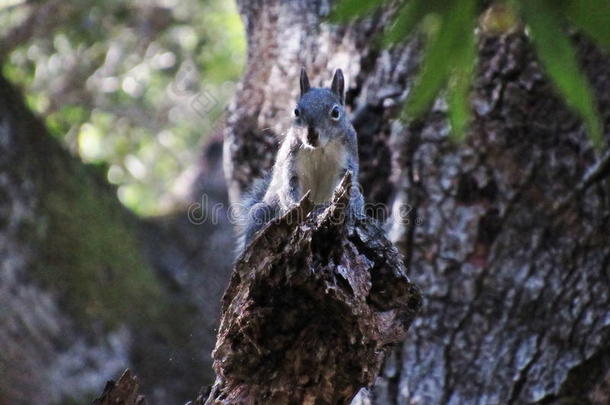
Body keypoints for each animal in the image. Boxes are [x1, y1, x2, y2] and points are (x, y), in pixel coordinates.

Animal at [236, 67, 360, 254]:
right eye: (296, 111)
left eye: (336, 112)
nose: (311, 134)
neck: (319, 149)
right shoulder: (291, 161)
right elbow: (289, 185)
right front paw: (295, 208)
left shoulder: (347, 161)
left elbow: (346, 183)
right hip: (261, 211)